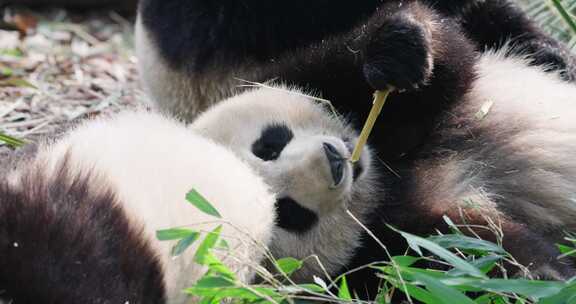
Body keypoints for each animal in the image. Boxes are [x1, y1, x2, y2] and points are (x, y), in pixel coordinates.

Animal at [190, 51, 576, 298]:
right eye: (288, 212)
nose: (334, 161)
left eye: (269, 145)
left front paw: (400, 52)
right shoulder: (378, 260)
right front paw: (539, 278)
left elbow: (447, 69)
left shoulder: (306, 78)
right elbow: (466, 255)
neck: (382, 186)